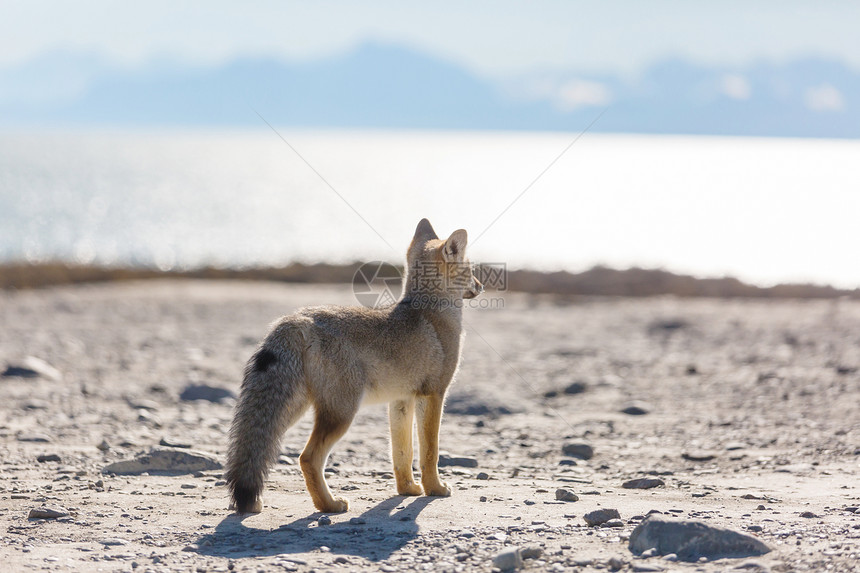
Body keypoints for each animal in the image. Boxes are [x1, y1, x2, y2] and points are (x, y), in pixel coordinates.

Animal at [225, 219, 484, 512]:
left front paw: (407, 489)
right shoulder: (434, 395)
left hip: (293, 410)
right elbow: (431, 452)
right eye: (471, 269)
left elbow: (402, 453)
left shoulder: (401, 400)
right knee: (308, 458)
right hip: (342, 413)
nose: (481, 285)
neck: (432, 312)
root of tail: (299, 318)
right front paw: (435, 489)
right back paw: (330, 505)